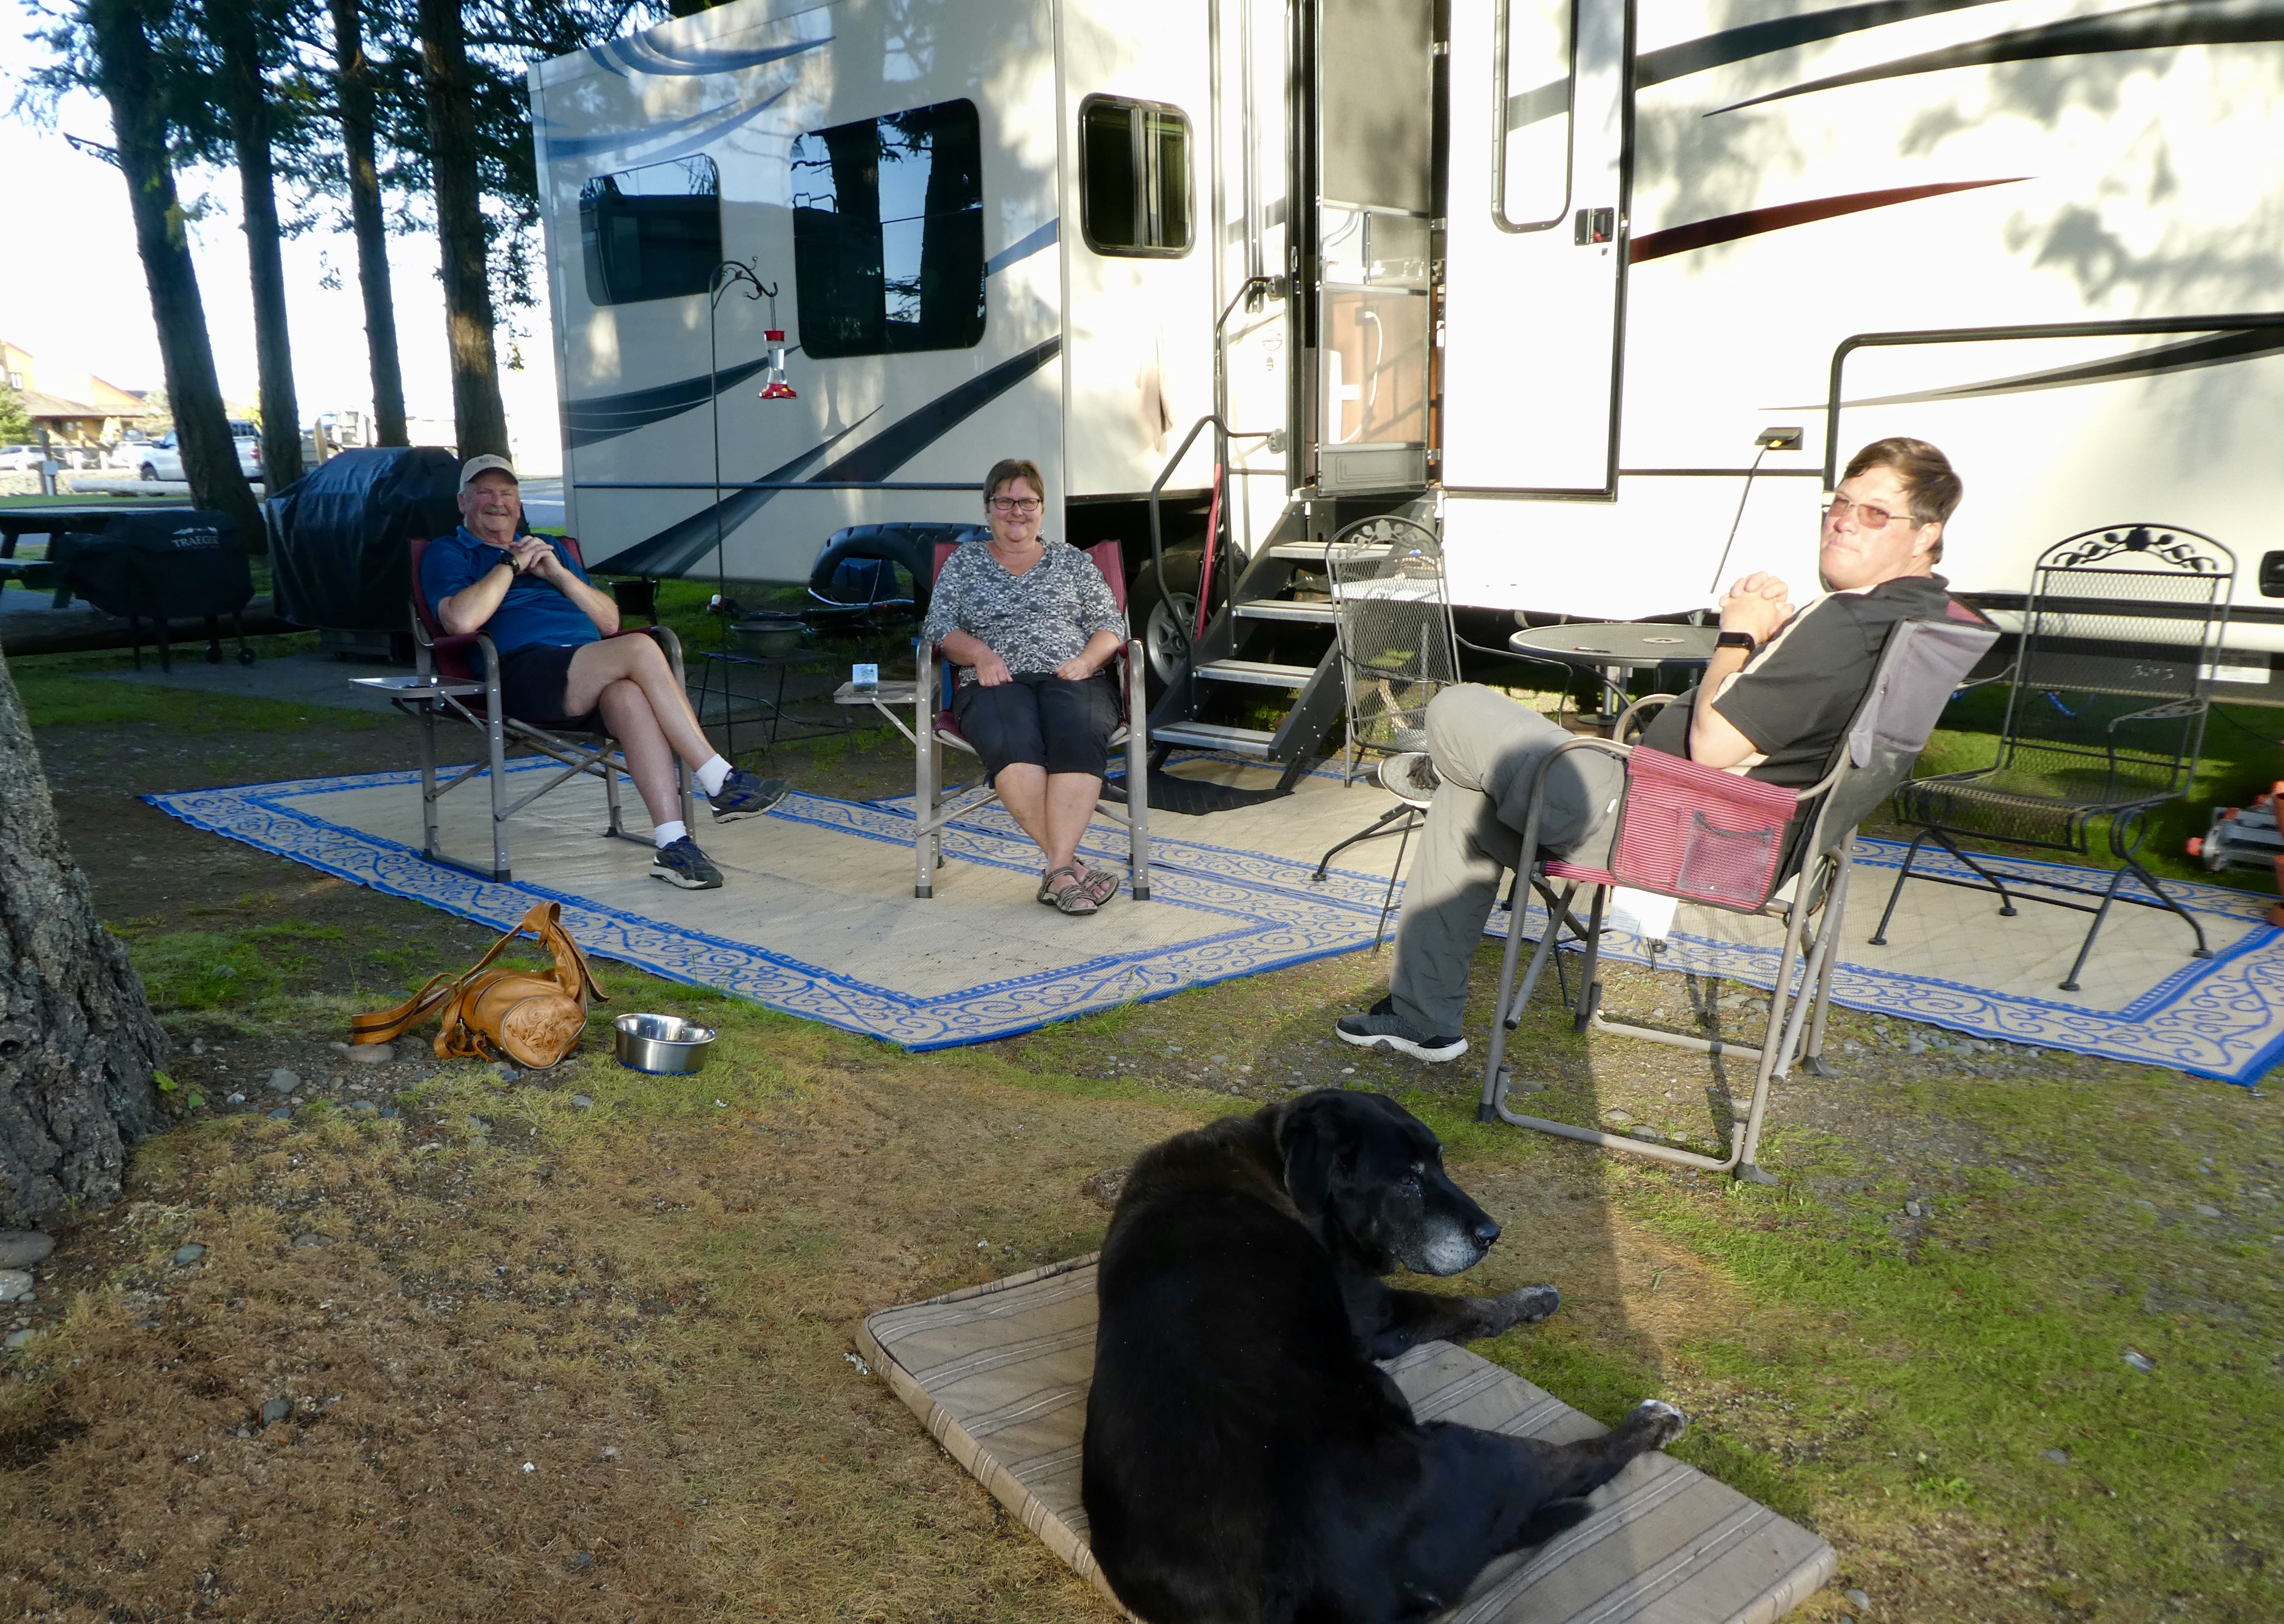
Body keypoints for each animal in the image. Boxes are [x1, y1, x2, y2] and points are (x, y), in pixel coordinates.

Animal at [1081, 1089, 1688, 1624]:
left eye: (1441, 1163)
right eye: (1407, 1179)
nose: (1492, 1233)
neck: (1272, 1162)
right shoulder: (1377, 1313)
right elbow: (1463, 1306)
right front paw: (1531, 1299)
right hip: (1469, 1453)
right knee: (1578, 1463)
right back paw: (1651, 1423)